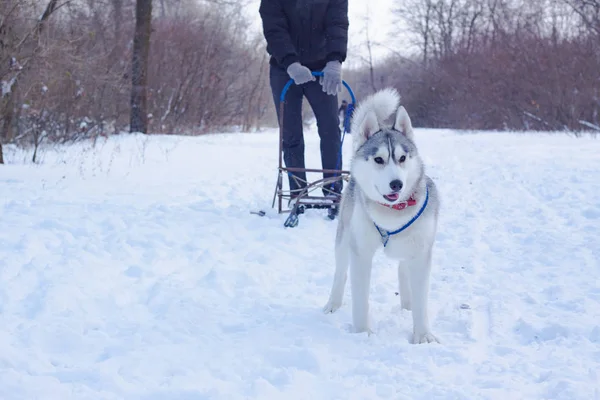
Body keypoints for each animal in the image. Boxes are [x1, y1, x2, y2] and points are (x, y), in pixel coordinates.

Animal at [324, 87, 440, 344]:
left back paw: (407, 305)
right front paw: (361, 333)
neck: (392, 213)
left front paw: (423, 335)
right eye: (379, 159)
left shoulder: (421, 252)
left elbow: (422, 300)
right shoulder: (360, 252)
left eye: (402, 158)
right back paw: (332, 304)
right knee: (339, 273)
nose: (396, 184)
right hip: (344, 238)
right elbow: (360, 299)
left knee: (403, 270)